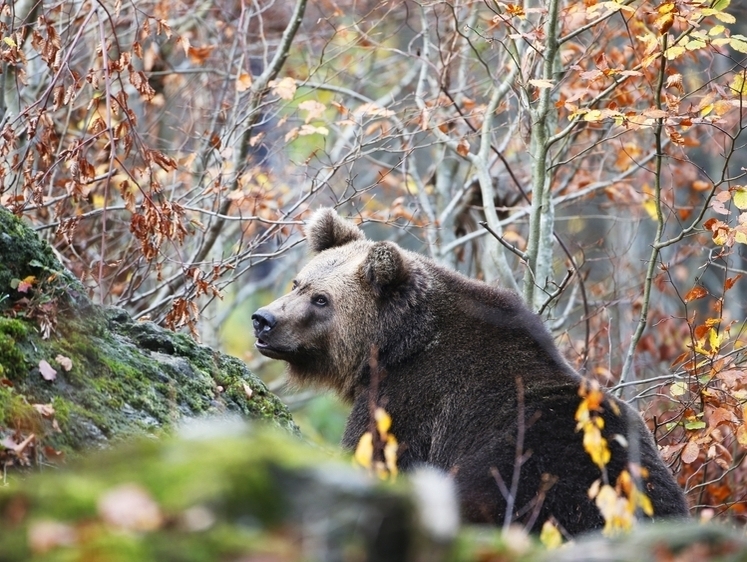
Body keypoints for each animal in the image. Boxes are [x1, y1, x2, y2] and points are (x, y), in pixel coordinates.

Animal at [253, 207, 688, 532]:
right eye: (298, 282)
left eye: (322, 299)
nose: (263, 320)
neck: (394, 346)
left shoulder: (408, 406)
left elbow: (374, 455)